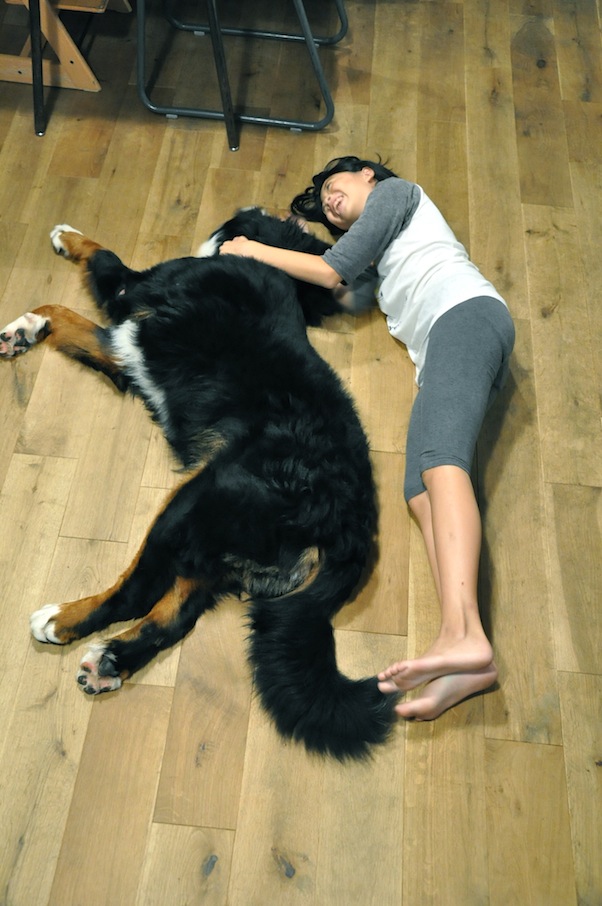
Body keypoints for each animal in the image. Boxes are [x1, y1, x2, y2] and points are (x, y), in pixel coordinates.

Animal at [0, 209, 397, 760]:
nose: (237, 218)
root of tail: (347, 524)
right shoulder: (123, 352)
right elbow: (63, 317)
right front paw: (27, 329)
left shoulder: (130, 292)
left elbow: (98, 263)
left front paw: (64, 243)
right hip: (216, 548)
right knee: (176, 614)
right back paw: (111, 662)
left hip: (193, 503)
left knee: (137, 592)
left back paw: (62, 622)